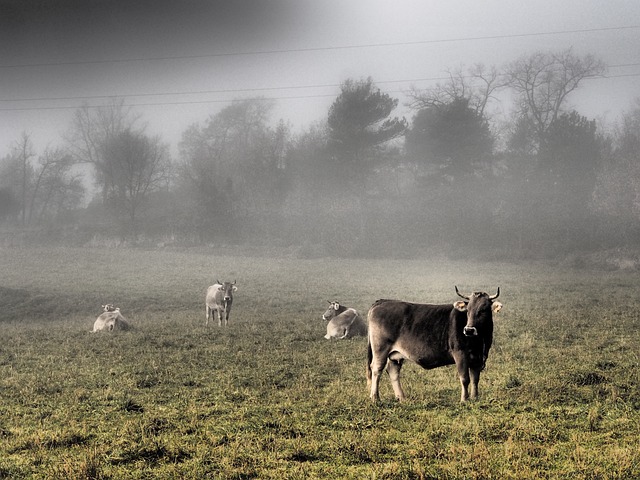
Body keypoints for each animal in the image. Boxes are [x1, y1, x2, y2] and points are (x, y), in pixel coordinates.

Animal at [368, 286, 502, 404]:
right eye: (468, 310)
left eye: (484, 309)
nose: (469, 330)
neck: (480, 341)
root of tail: (382, 301)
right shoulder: (460, 354)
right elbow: (465, 379)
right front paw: (464, 399)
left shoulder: (477, 358)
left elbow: (475, 379)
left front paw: (475, 398)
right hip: (380, 350)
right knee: (376, 369)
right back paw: (375, 398)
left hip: (396, 355)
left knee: (393, 371)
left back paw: (401, 397)